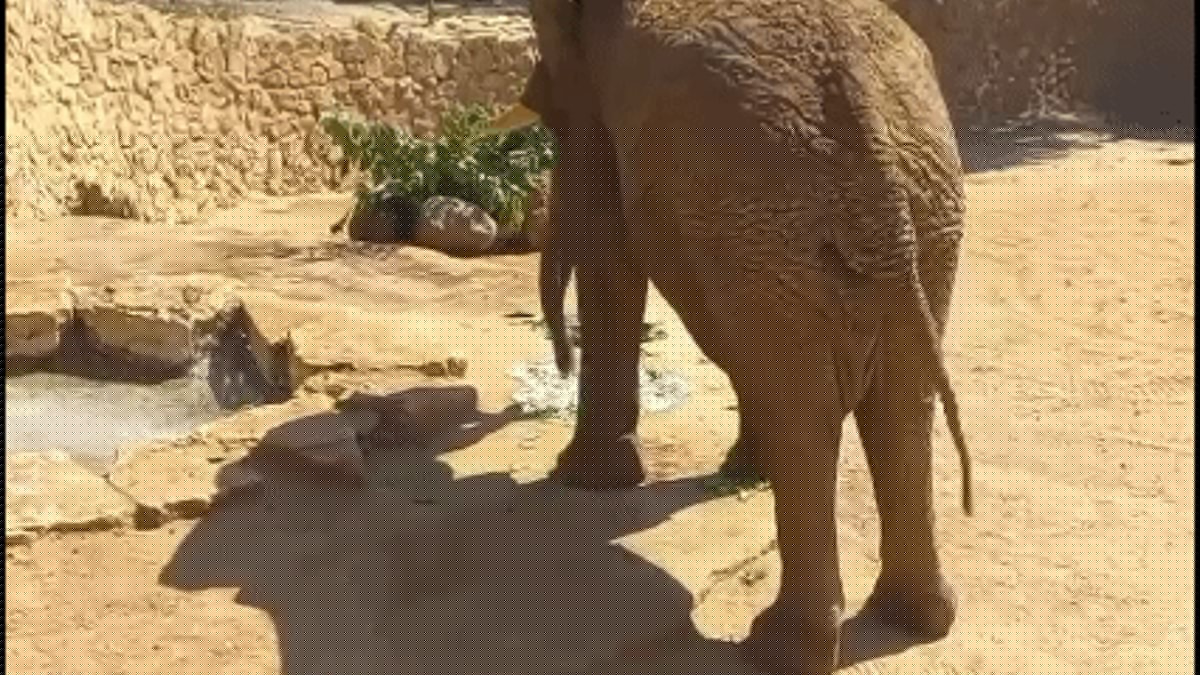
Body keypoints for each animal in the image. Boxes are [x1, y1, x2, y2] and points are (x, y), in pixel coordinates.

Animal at [492, 0, 975, 672]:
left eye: (552, 113)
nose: (557, 362)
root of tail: (871, 128)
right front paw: (742, 471)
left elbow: (612, 254)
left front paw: (581, 479)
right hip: (912, 213)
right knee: (897, 404)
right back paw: (916, 621)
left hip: (769, 217)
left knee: (807, 416)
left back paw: (778, 647)